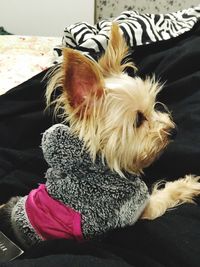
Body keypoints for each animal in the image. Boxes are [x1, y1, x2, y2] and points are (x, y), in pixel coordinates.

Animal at [0, 23, 200, 249]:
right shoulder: (132, 208)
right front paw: (189, 184)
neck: (99, 163)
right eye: (138, 120)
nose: (173, 130)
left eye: (153, 107)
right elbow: (166, 194)